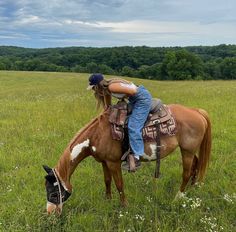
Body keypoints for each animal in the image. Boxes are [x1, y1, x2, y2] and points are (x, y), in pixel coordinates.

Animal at [43, 102, 211, 215]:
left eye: (54, 193)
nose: (50, 212)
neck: (96, 135)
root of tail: (196, 111)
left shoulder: (113, 163)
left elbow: (119, 184)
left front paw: (124, 206)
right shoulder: (104, 162)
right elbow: (107, 181)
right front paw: (108, 201)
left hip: (187, 151)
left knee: (186, 173)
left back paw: (178, 197)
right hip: (189, 151)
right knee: (196, 165)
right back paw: (192, 188)